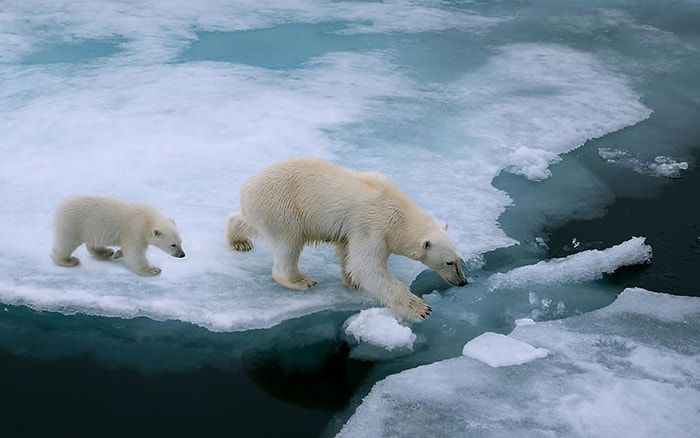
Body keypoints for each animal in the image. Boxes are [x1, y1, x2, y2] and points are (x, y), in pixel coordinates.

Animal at [227, 158, 468, 322]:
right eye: (449, 262)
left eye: (459, 259)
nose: (463, 282)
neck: (398, 211)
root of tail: (246, 188)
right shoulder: (373, 225)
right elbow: (366, 266)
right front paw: (420, 309)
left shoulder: (355, 229)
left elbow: (348, 252)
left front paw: (351, 281)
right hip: (283, 207)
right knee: (289, 243)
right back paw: (300, 280)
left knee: (250, 223)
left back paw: (238, 240)